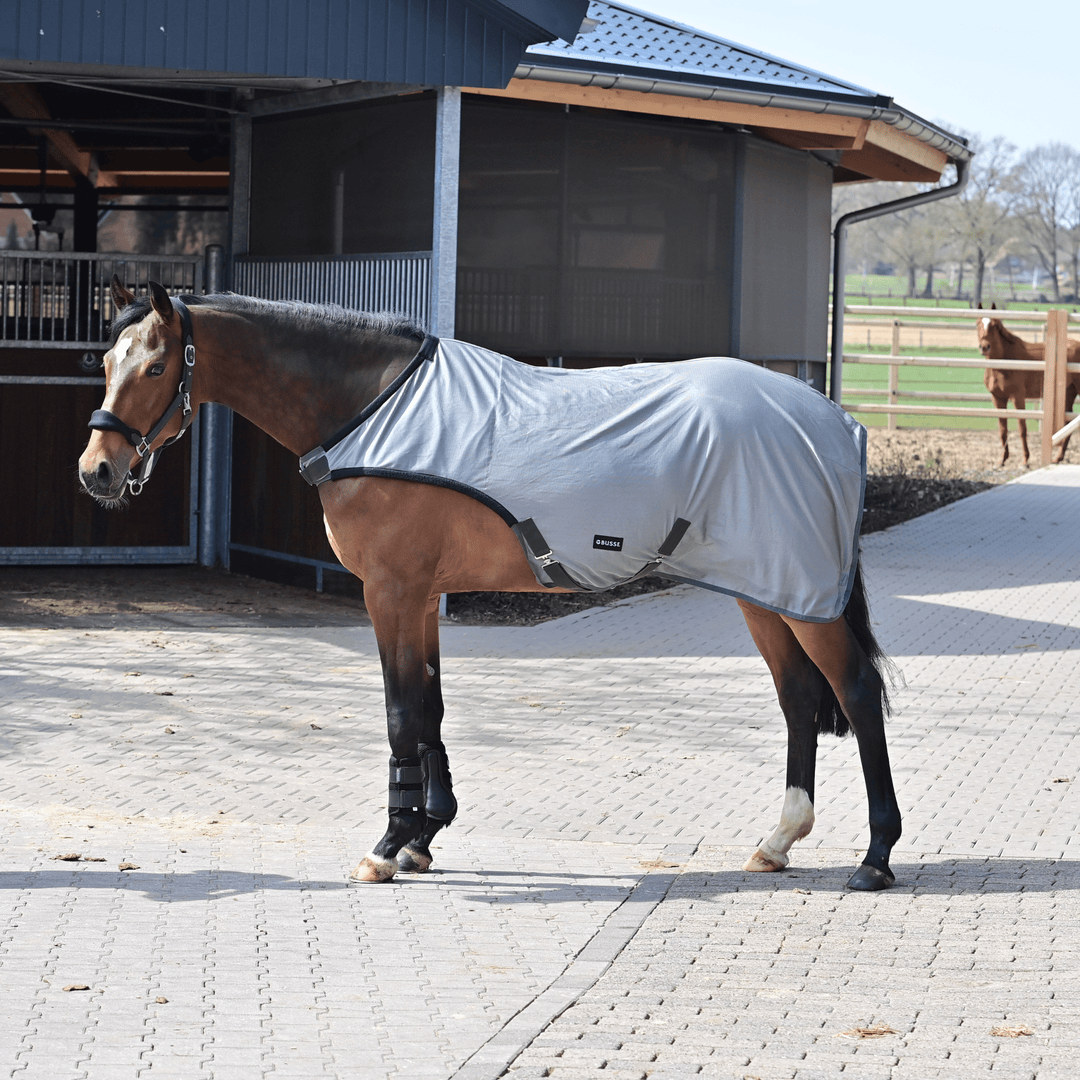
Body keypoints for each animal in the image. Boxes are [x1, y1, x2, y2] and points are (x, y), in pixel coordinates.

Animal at [78, 278, 902, 892]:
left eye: (156, 368)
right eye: (105, 365)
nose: (98, 472)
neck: (367, 408)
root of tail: (834, 422)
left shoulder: (390, 592)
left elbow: (401, 714)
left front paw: (387, 845)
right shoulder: (419, 597)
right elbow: (430, 708)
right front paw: (424, 834)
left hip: (800, 596)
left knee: (856, 692)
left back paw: (875, 857)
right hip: (765, 591)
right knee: (799, 698)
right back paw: (778, 841)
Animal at [976, 308, 1080, 466]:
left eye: (994, 326)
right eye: (978, 324)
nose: (984, 347)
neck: (1005, 362)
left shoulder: (1018, 397)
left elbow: (1022, 428)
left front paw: (1025, 459)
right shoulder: (998, 399)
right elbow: (1002, 430)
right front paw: (1002, 459)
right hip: (1069, 393)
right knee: (1068, 421)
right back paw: (1058, 457)